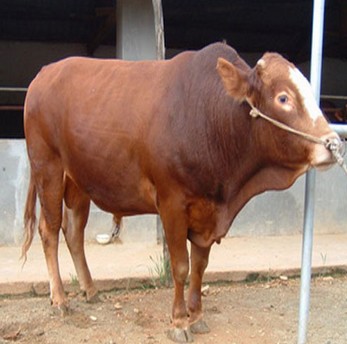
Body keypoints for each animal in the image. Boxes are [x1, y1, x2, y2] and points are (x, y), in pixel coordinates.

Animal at [22, 42, 342, 342]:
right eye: (283, 98)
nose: (333, 143)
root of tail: (44, 73)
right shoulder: (172, 203)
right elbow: (180, 266)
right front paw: (178, 322)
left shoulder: (207, 213)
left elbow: (200, 266)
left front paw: (196, 316)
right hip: (48, 168)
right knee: (50, 230)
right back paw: (60, 299)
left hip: (79, 182)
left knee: (74, 232)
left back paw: (90, 289)